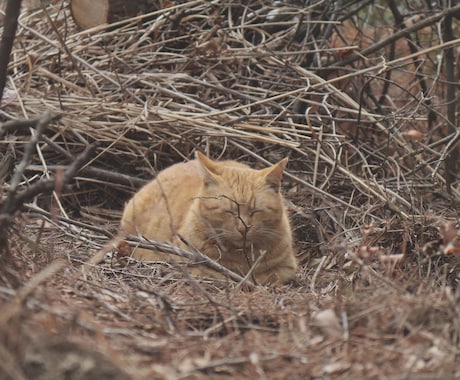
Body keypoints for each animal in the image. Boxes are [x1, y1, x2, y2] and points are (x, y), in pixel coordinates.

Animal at [120, 152, 296, 284]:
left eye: (255, 211)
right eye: (229, 211)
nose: (242, 229)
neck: (241, 257)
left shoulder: (288, 268)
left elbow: (267, 276)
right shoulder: (187, 265)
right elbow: (219, 275)